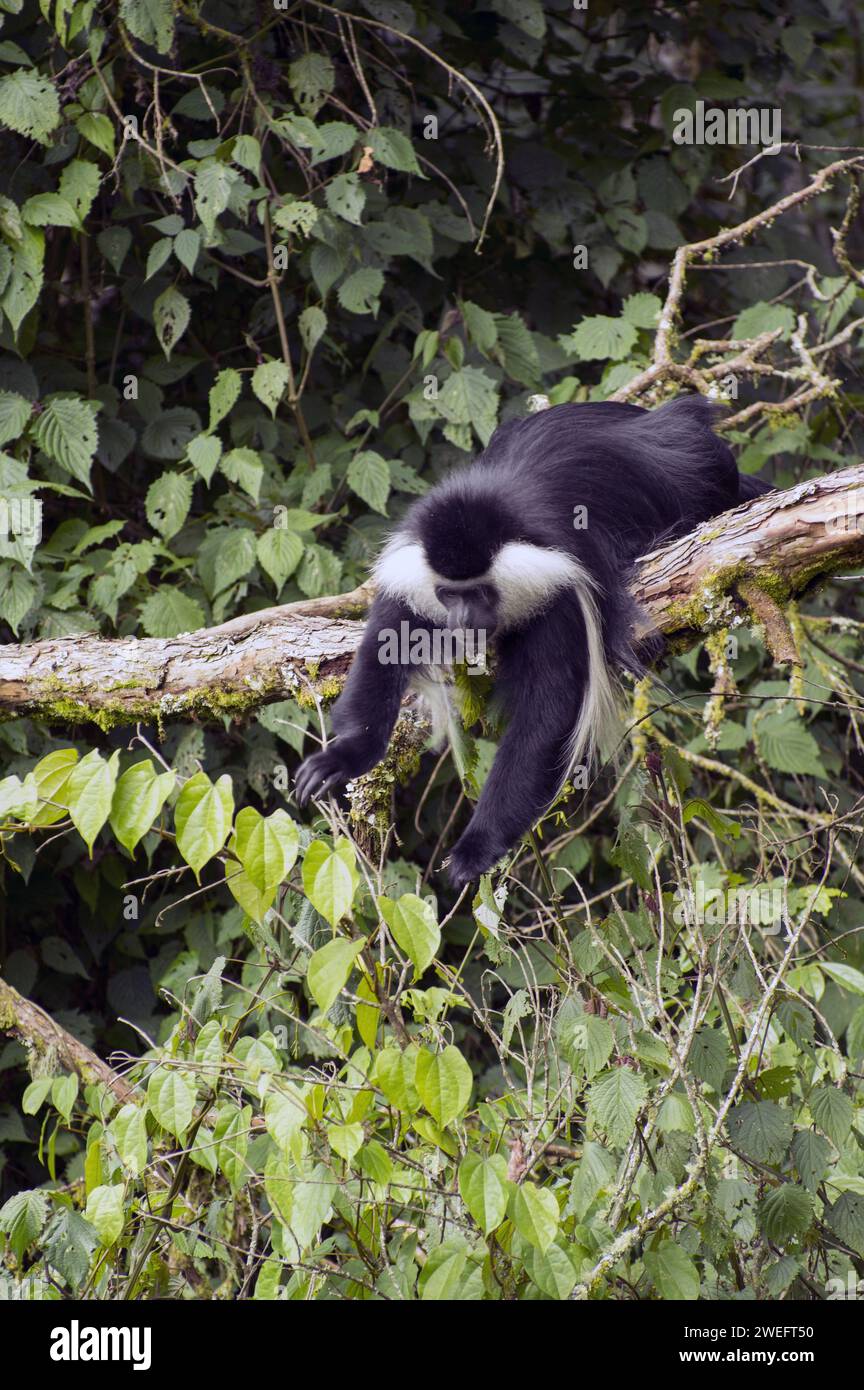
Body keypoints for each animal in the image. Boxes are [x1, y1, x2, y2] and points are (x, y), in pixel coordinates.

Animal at [297, 394, 772, 889]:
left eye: (480, 593)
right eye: (450, 594)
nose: (462, 620)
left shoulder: (561, 595)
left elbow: (548, 710)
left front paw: (476, 848)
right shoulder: (408, 584)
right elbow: (381, 655)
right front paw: (344, 757)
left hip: (696, 459)